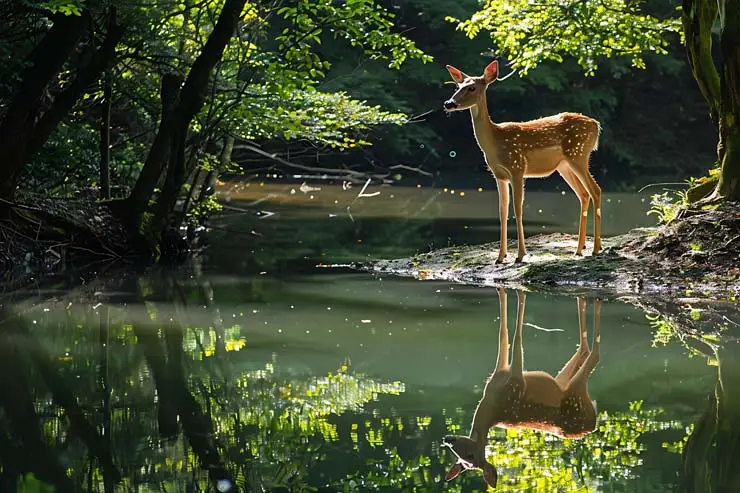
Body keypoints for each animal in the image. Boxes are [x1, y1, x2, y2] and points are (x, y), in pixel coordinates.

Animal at [442, 288, 601, 489]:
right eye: (462, 462)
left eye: (471, 457)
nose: (448, 439)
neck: (492, 406)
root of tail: (593, 423)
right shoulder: (499, 374)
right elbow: (503, 335)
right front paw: (502, 291)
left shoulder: (516, 383)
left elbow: (516, 338)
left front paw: (520, 293)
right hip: (563, 385)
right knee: (584, 350)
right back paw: (583, 299)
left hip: (574, 396)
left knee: (594, 354)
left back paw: (594, 301)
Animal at [443, 60, 603, 264]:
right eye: (457, 87)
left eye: (471, 88)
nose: (449, 103)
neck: (495, 142)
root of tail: (596, 125)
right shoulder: (499, 175)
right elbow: (502, 211)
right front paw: (500, 257)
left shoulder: (517, 168)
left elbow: (517, 209)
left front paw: (520, 255)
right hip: (564, 165)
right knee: (583, 194)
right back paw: (579, 249)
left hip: (579, 155)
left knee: (595, 190)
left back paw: (596, 249)